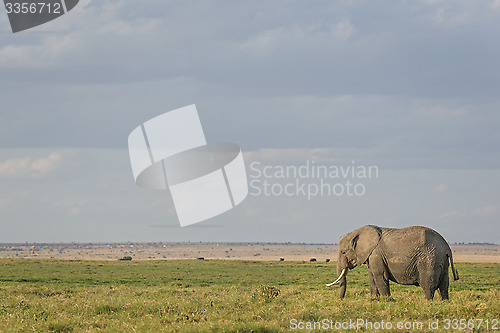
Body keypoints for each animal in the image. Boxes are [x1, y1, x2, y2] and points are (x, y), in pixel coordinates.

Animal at [328, 224, 458, 300]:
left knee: (428, 286)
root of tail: (447, 247)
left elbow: (380, 276)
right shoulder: (372, 256)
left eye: (343, 252)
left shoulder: (376, 254)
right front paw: (374, 300)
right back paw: (443, 302)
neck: (357, 232)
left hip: (430, 259)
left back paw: (427, 303)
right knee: (443, 286)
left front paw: (386, 300)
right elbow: (372, 277)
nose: (340, 300)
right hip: (442, 261)